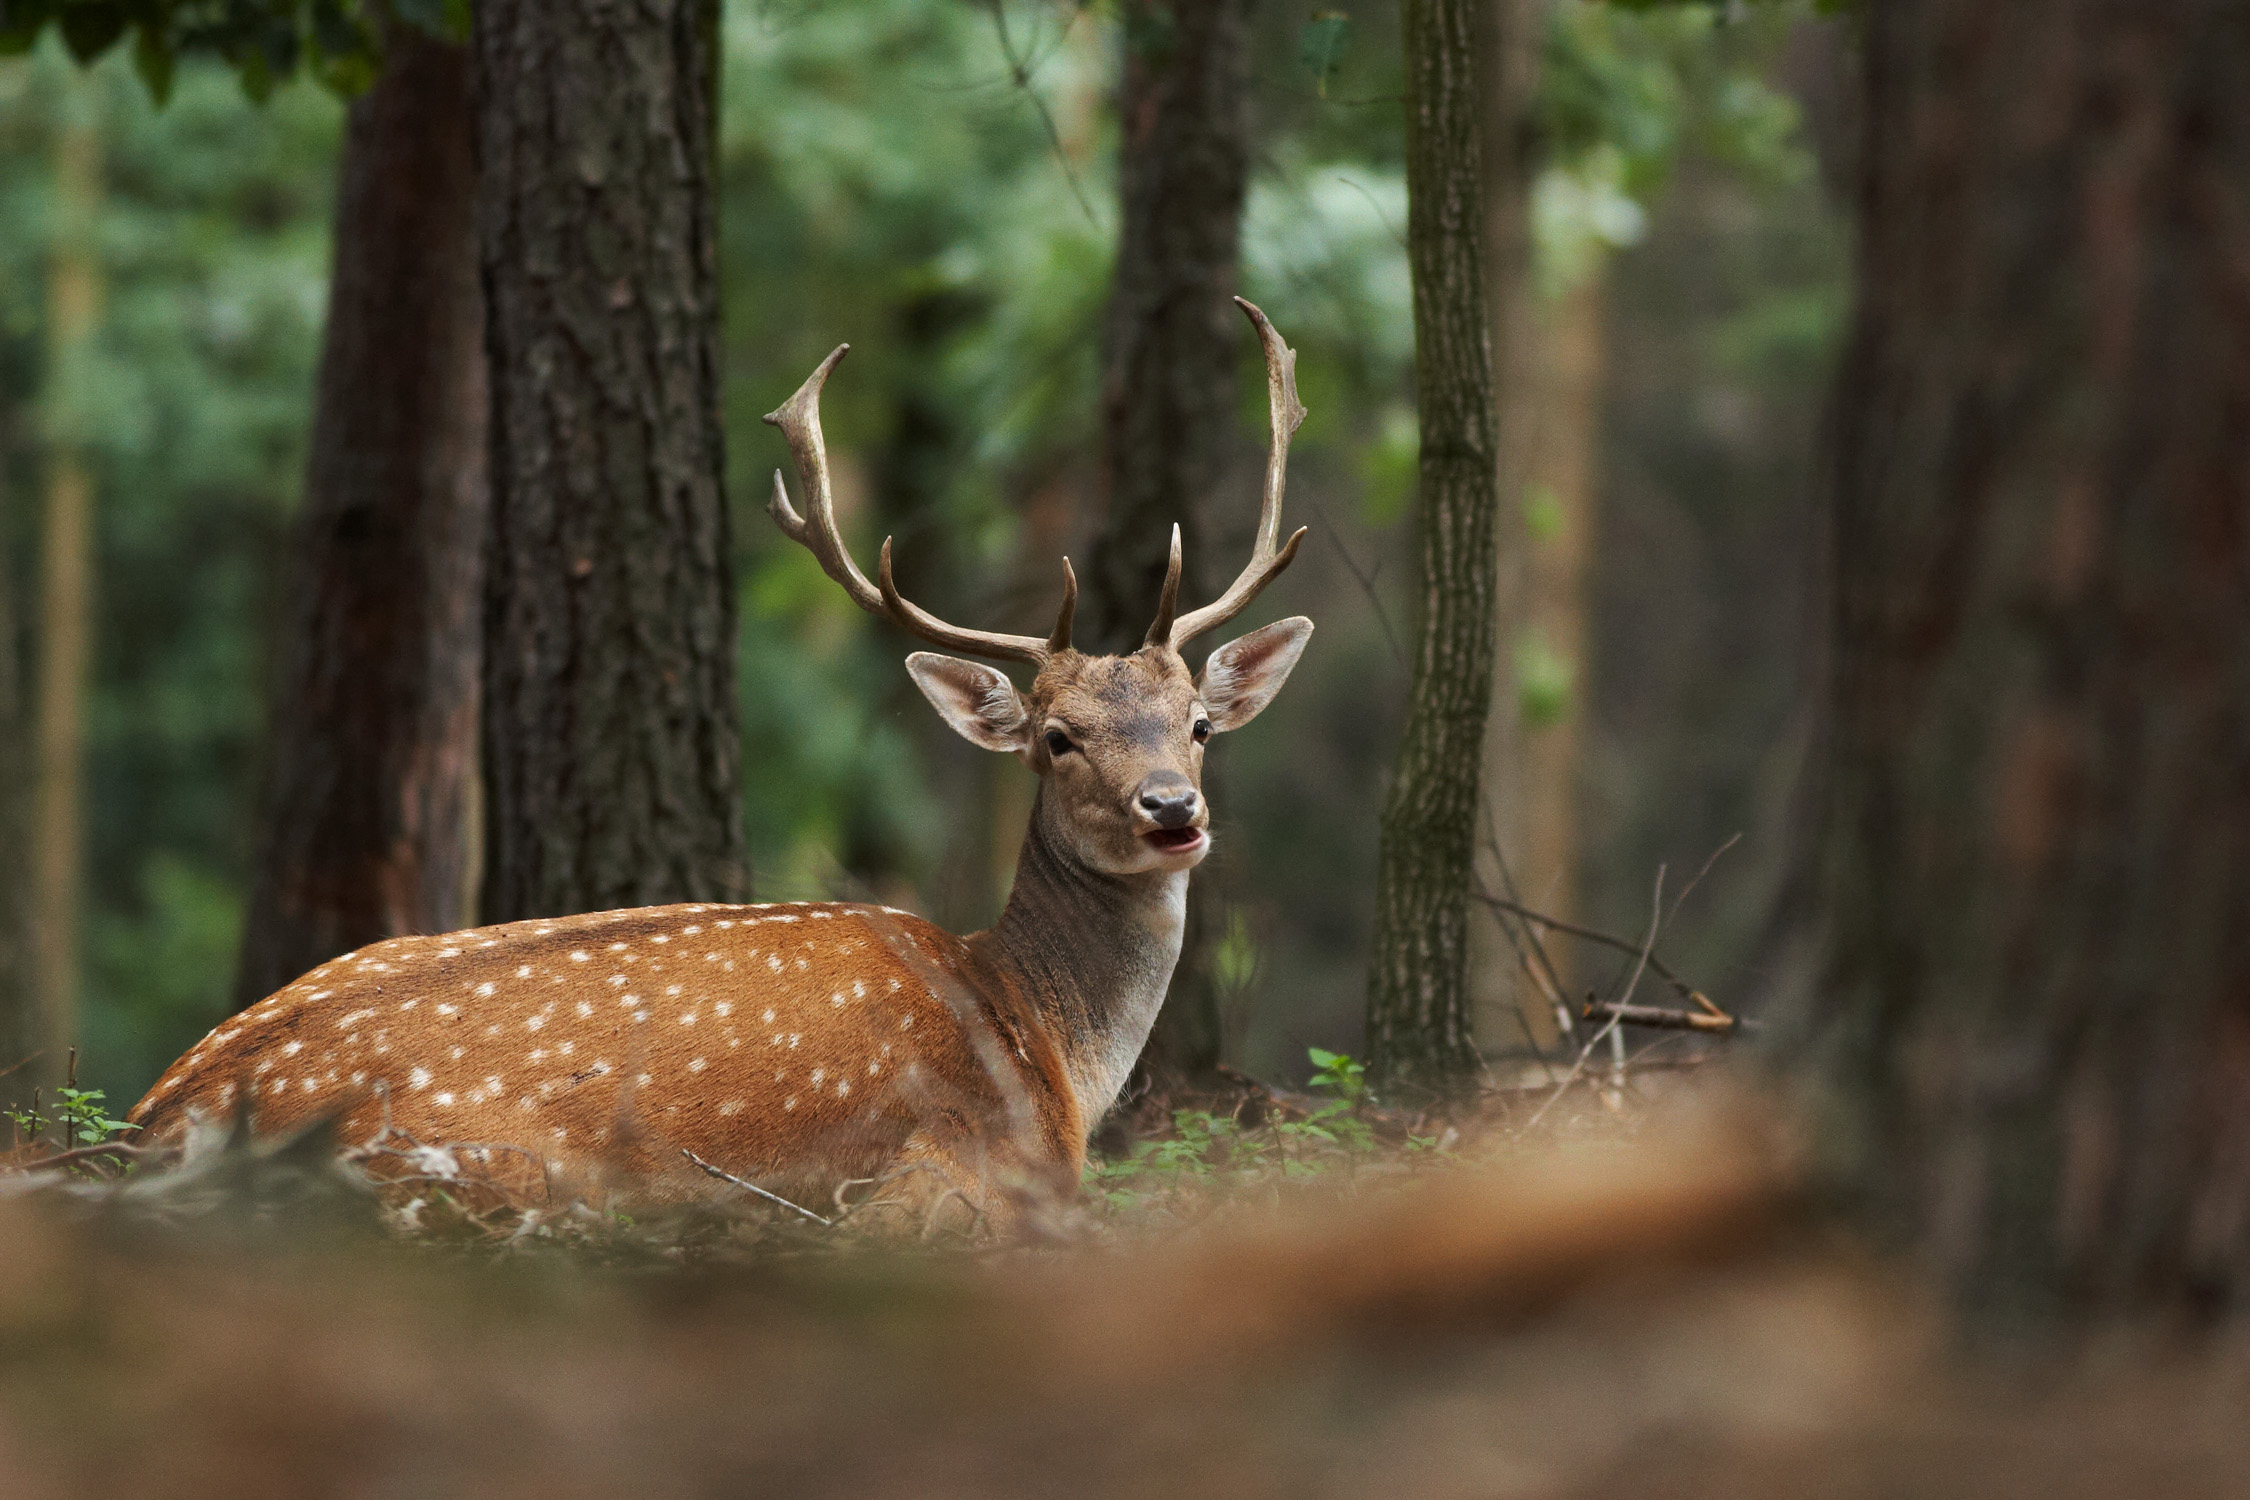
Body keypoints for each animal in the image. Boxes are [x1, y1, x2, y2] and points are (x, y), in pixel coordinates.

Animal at [123, 296, 1314, 1232]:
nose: (1172, 810)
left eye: (1198, 725)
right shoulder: (952, 1174)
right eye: (1058, 739)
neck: (1049, 1050)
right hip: (491, 1172)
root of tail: (156, 1122)